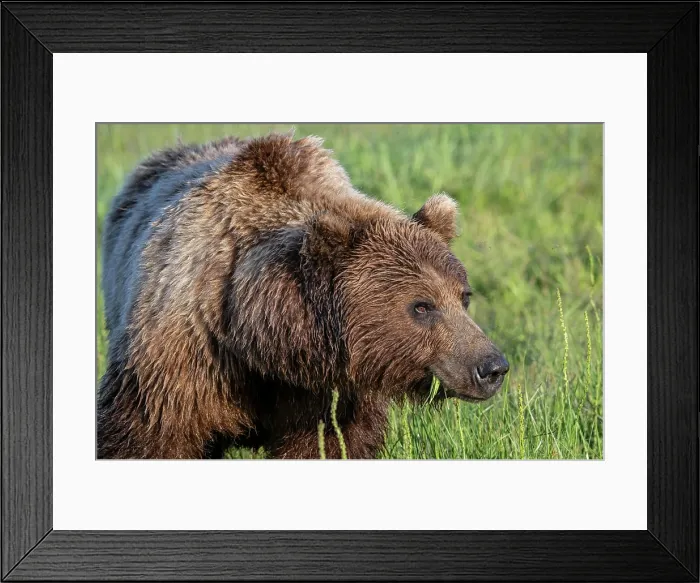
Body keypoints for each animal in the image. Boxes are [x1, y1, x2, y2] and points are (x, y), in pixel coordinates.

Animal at [98, 133, 509, 459]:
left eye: (464, 297)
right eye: (422, 306)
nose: (492, 366)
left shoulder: (329, 394)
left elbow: (330, 444)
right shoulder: (186, 360)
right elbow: (154, 436)